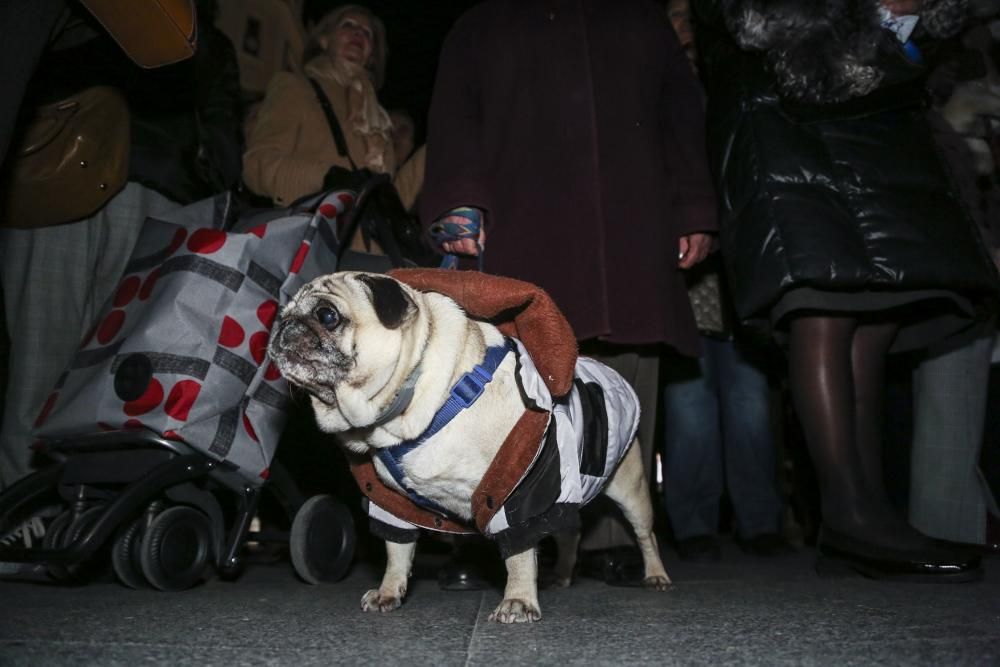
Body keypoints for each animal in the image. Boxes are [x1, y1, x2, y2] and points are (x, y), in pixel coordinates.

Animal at [270, 268, 668, 624]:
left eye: (327, 315)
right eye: (281, 313)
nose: (282, 327)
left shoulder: (515, 488)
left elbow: (519, 554)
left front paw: (518, 601)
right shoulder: (391, 501)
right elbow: (397, 550)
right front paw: (388, 591)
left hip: (629, 488)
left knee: (645, 534)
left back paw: (655, 576)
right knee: (570, 531)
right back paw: (562, 576)